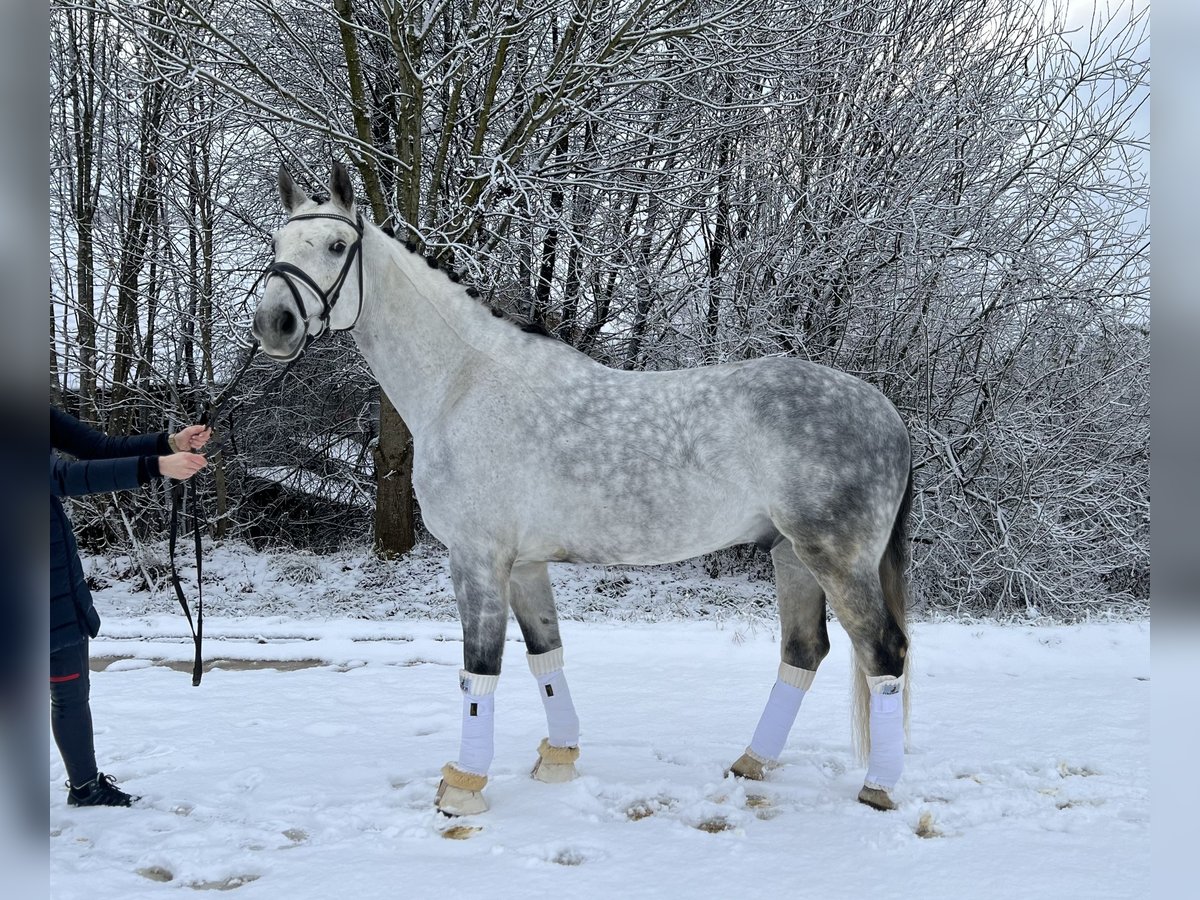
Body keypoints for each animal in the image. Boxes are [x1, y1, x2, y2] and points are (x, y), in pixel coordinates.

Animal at [251, 161, 913, 816]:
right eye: (278, 243)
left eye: (337, 246)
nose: (274, 325)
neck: (463, 384)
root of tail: (886, 412)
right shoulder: (524, 564)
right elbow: (546, 655)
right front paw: (558, 760)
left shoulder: (478, 557)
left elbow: (478, 670)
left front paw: (462, 787)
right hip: (791, 555)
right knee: (804, 651)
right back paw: (751, 764)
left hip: (836, 558)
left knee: (883, 653)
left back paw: (878, 788)